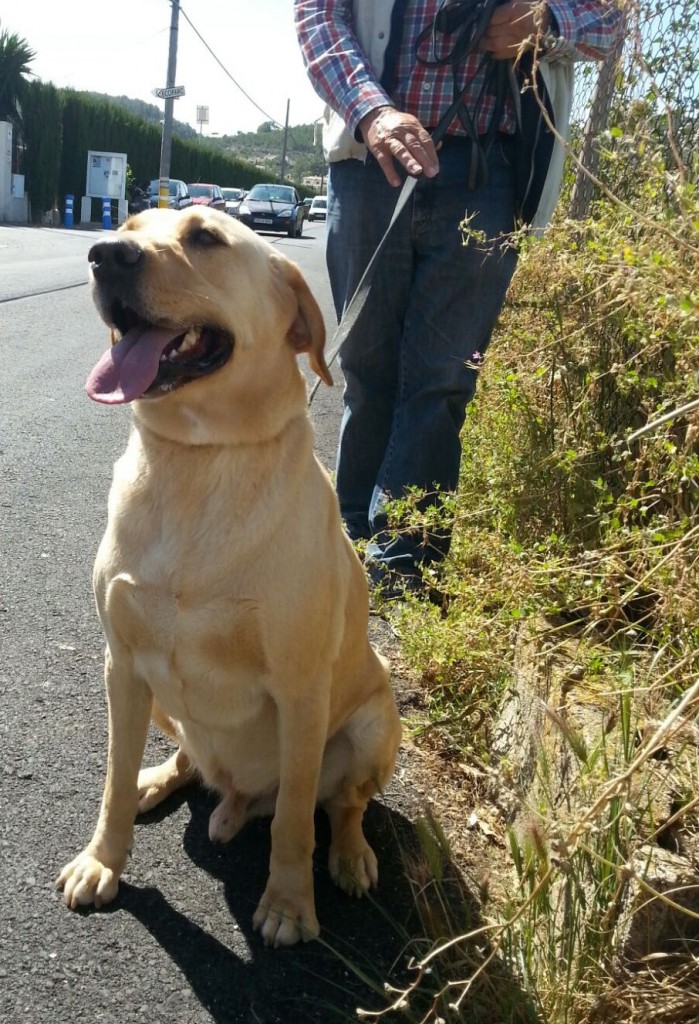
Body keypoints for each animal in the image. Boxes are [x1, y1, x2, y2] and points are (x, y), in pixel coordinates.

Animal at [56, 207, 402, 947]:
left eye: (204, 238)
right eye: (131, 223)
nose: (105, 253)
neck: (199, 457)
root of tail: (242, 798)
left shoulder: (302, 690)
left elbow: (297, 818)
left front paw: (290, 904)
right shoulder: (121, 664)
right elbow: (110, 782)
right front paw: (104, 859)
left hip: (374, 725)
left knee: (343, 803)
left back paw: (351, 855)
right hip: (160, 697)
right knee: (192, 762)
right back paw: (157, 780)